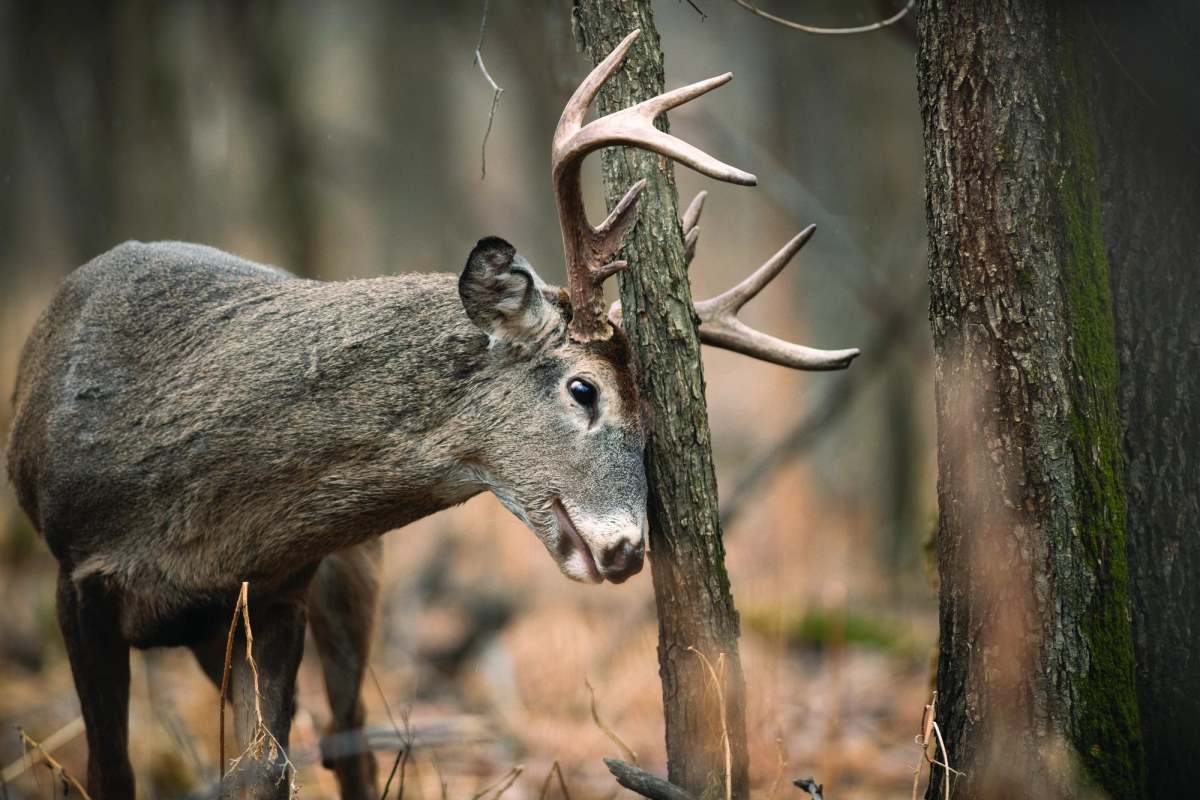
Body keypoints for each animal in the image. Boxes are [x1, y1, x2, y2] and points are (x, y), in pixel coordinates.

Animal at [5, 29, 856, 800]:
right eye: (584, 390)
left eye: (653, 417)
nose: (626, 550)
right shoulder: (76, 576)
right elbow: (112, 769)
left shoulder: (278, 587)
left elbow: (263, 770)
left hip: (351, 573)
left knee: (345, 736)